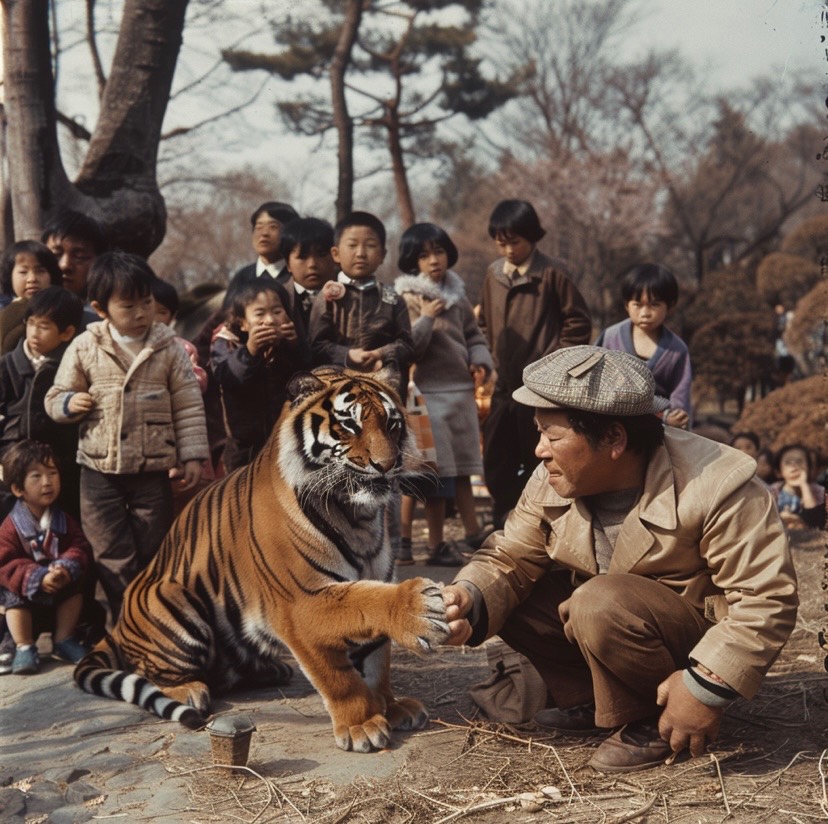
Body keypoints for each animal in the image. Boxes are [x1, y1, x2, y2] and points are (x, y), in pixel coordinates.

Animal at [74, 366, 450, 752]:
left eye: (392, 424)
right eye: (349, 424)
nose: (386, 465)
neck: (357, 517)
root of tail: (117, 626)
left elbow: (376, 661)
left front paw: (391, 707)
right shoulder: (302, 603)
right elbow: (343, 665)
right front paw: (362, 724)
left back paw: (270, 670)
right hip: (177, 602)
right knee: (153, 671)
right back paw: (188, 690)